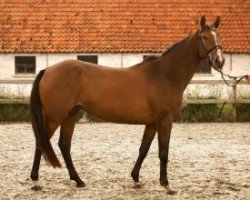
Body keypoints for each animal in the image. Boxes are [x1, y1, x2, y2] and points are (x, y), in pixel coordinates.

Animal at [29, 16, 225, 195]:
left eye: (218, 36)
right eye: (204, 37)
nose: (219, 61)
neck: (166, 74)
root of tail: (47, 70)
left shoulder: (152, 123)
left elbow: (143, 150)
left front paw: (136, 178)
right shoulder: (164, 122)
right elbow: (163, 153)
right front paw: (166, 185)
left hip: (71, 114)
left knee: (64, 145)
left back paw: (78, 180)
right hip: (56, 117)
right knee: (41, 143)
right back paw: (36, 181)